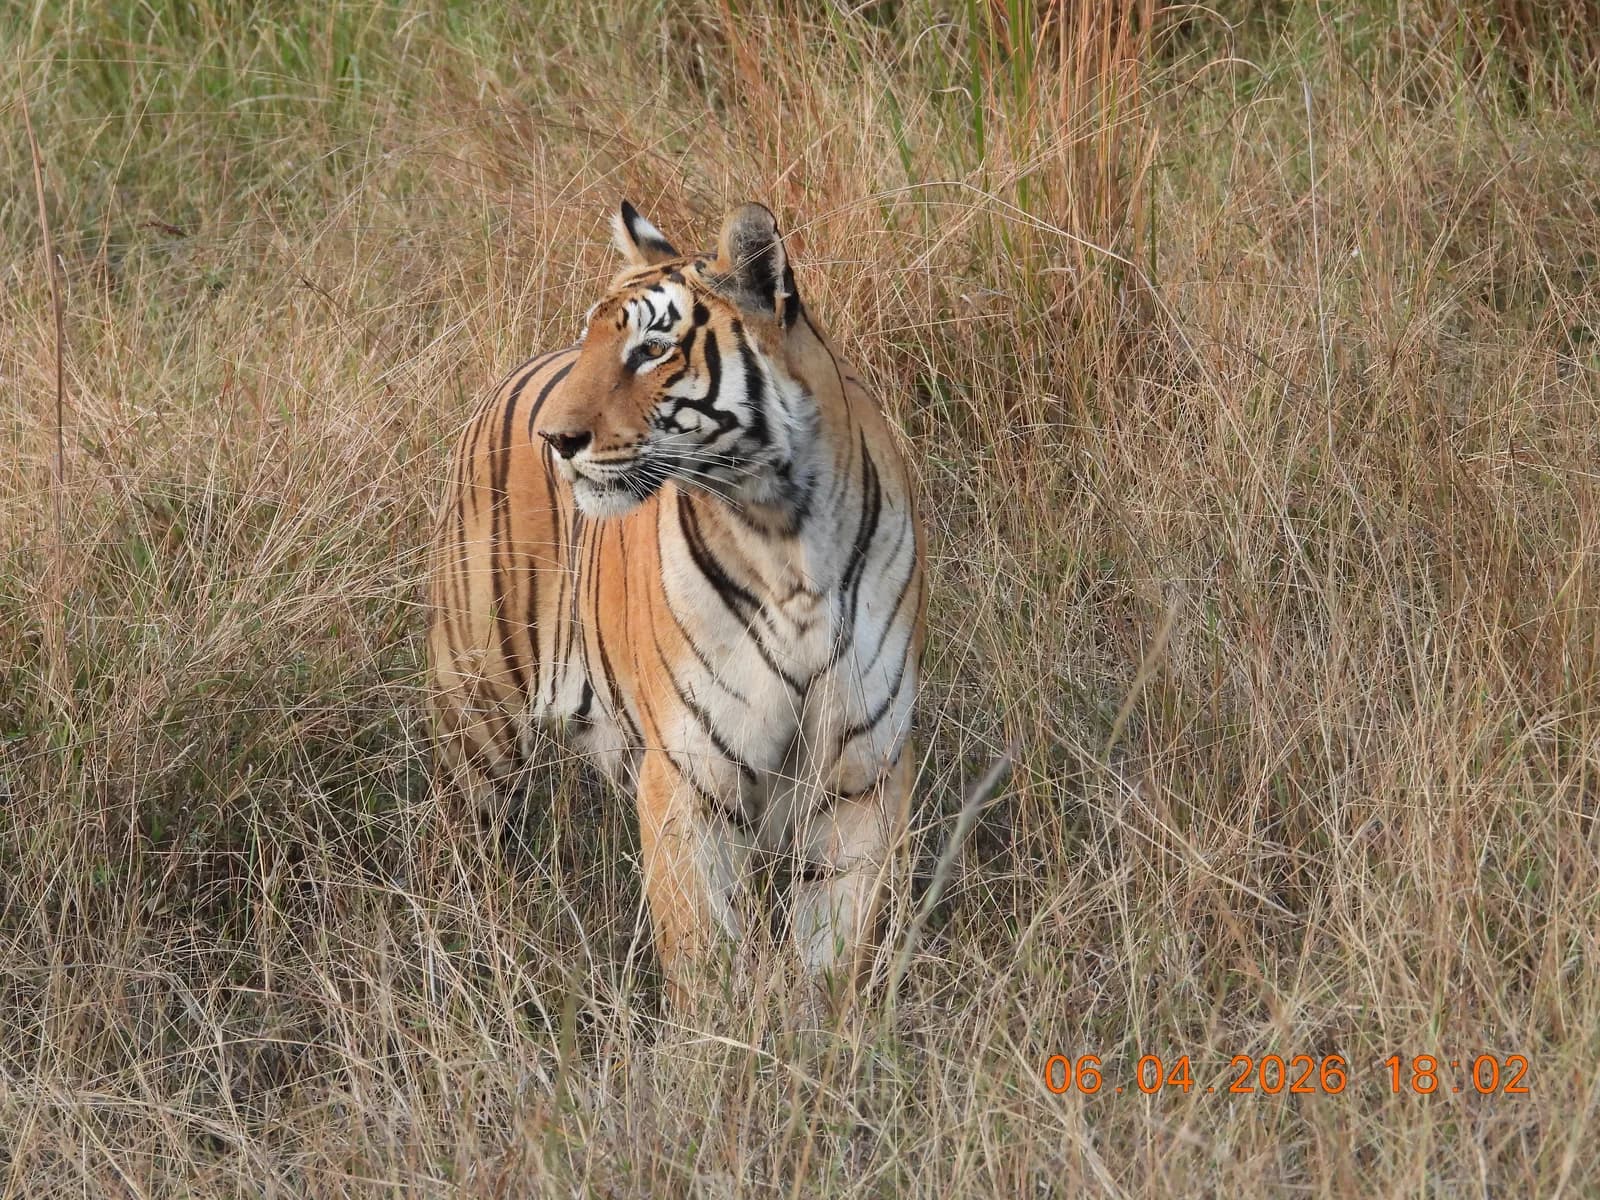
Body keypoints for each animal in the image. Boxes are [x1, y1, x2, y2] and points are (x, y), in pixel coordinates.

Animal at [426, 200, 925, 1011]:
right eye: (595, 341)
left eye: (653, 349)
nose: (556, 439)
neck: (784, 533)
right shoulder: (691, 777)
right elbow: (703, 955)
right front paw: (718, 1042)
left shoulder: (863, 776)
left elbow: (833, 956)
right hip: (476, 712)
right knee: (465, 837)